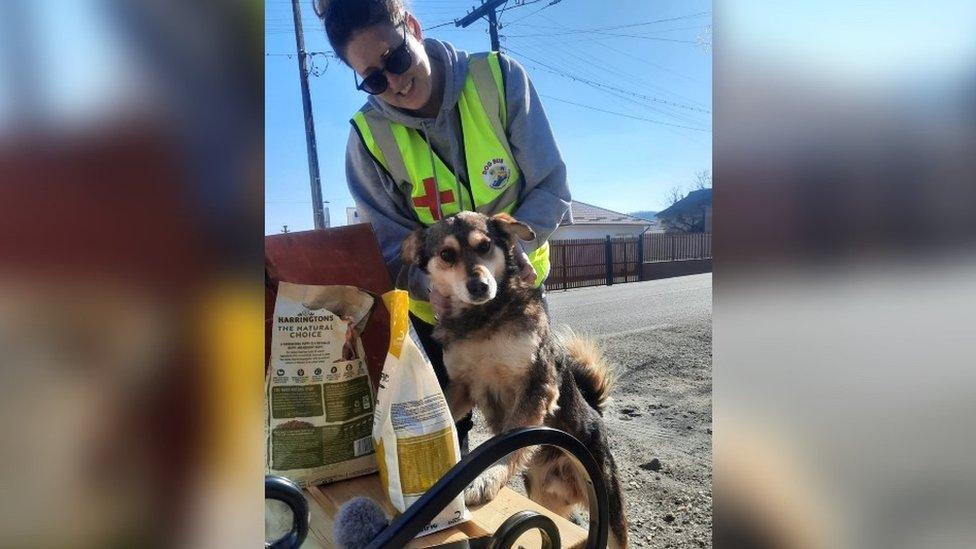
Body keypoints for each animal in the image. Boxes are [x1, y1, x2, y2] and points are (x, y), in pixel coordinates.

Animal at [400, 212, 628, 544]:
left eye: (484, 246)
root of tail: (595, 413)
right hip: (547, 498)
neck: (481, 322)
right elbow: (449, 410)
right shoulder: (462, 387)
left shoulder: (537, 383)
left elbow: (513, 435)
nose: (479, 286)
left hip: (609, 511)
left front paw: (486, 477)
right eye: (446, 255)